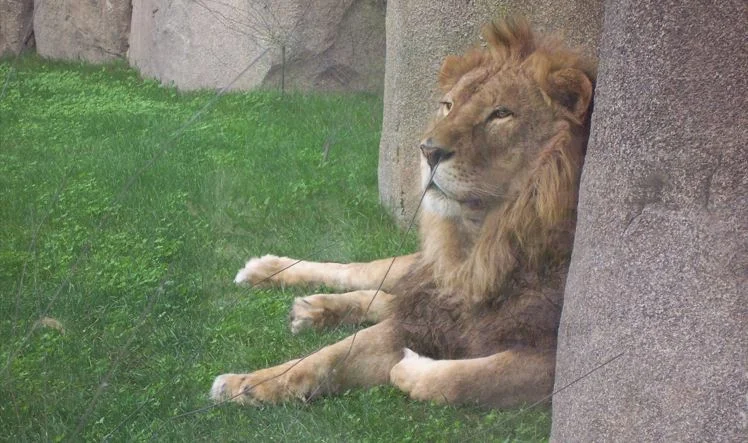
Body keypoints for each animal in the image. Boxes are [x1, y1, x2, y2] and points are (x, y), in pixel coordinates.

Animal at [211, 17, 595, 409]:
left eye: (501, 114)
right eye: (448, 105)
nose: (428, 151)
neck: (490, 241)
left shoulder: (554, 356)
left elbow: (467, 378)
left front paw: (411, 366)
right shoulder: (433, 312)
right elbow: (329, 356)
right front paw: (247, 383)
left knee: (387, 296)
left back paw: (314, 308)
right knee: (365, 274)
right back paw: (269, 274)